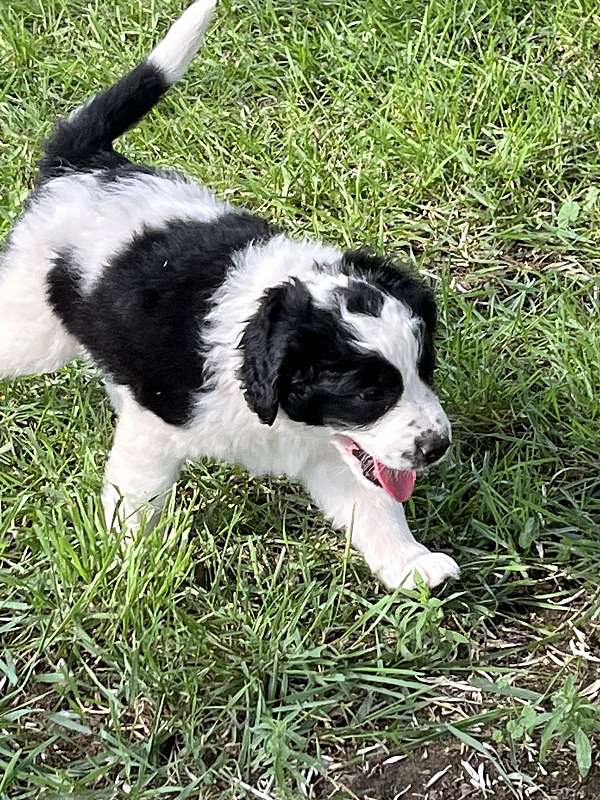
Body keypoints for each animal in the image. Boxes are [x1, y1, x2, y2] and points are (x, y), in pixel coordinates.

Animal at [0, 0, 460, 588]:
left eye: (425, 369)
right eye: (367, 393)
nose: (437, 447)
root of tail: (83, 166)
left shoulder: (331, 449)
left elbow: (375, 503)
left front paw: (412, 565)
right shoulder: (156, 430)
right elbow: (138, 500)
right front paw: (136, 568)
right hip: (31, 327)